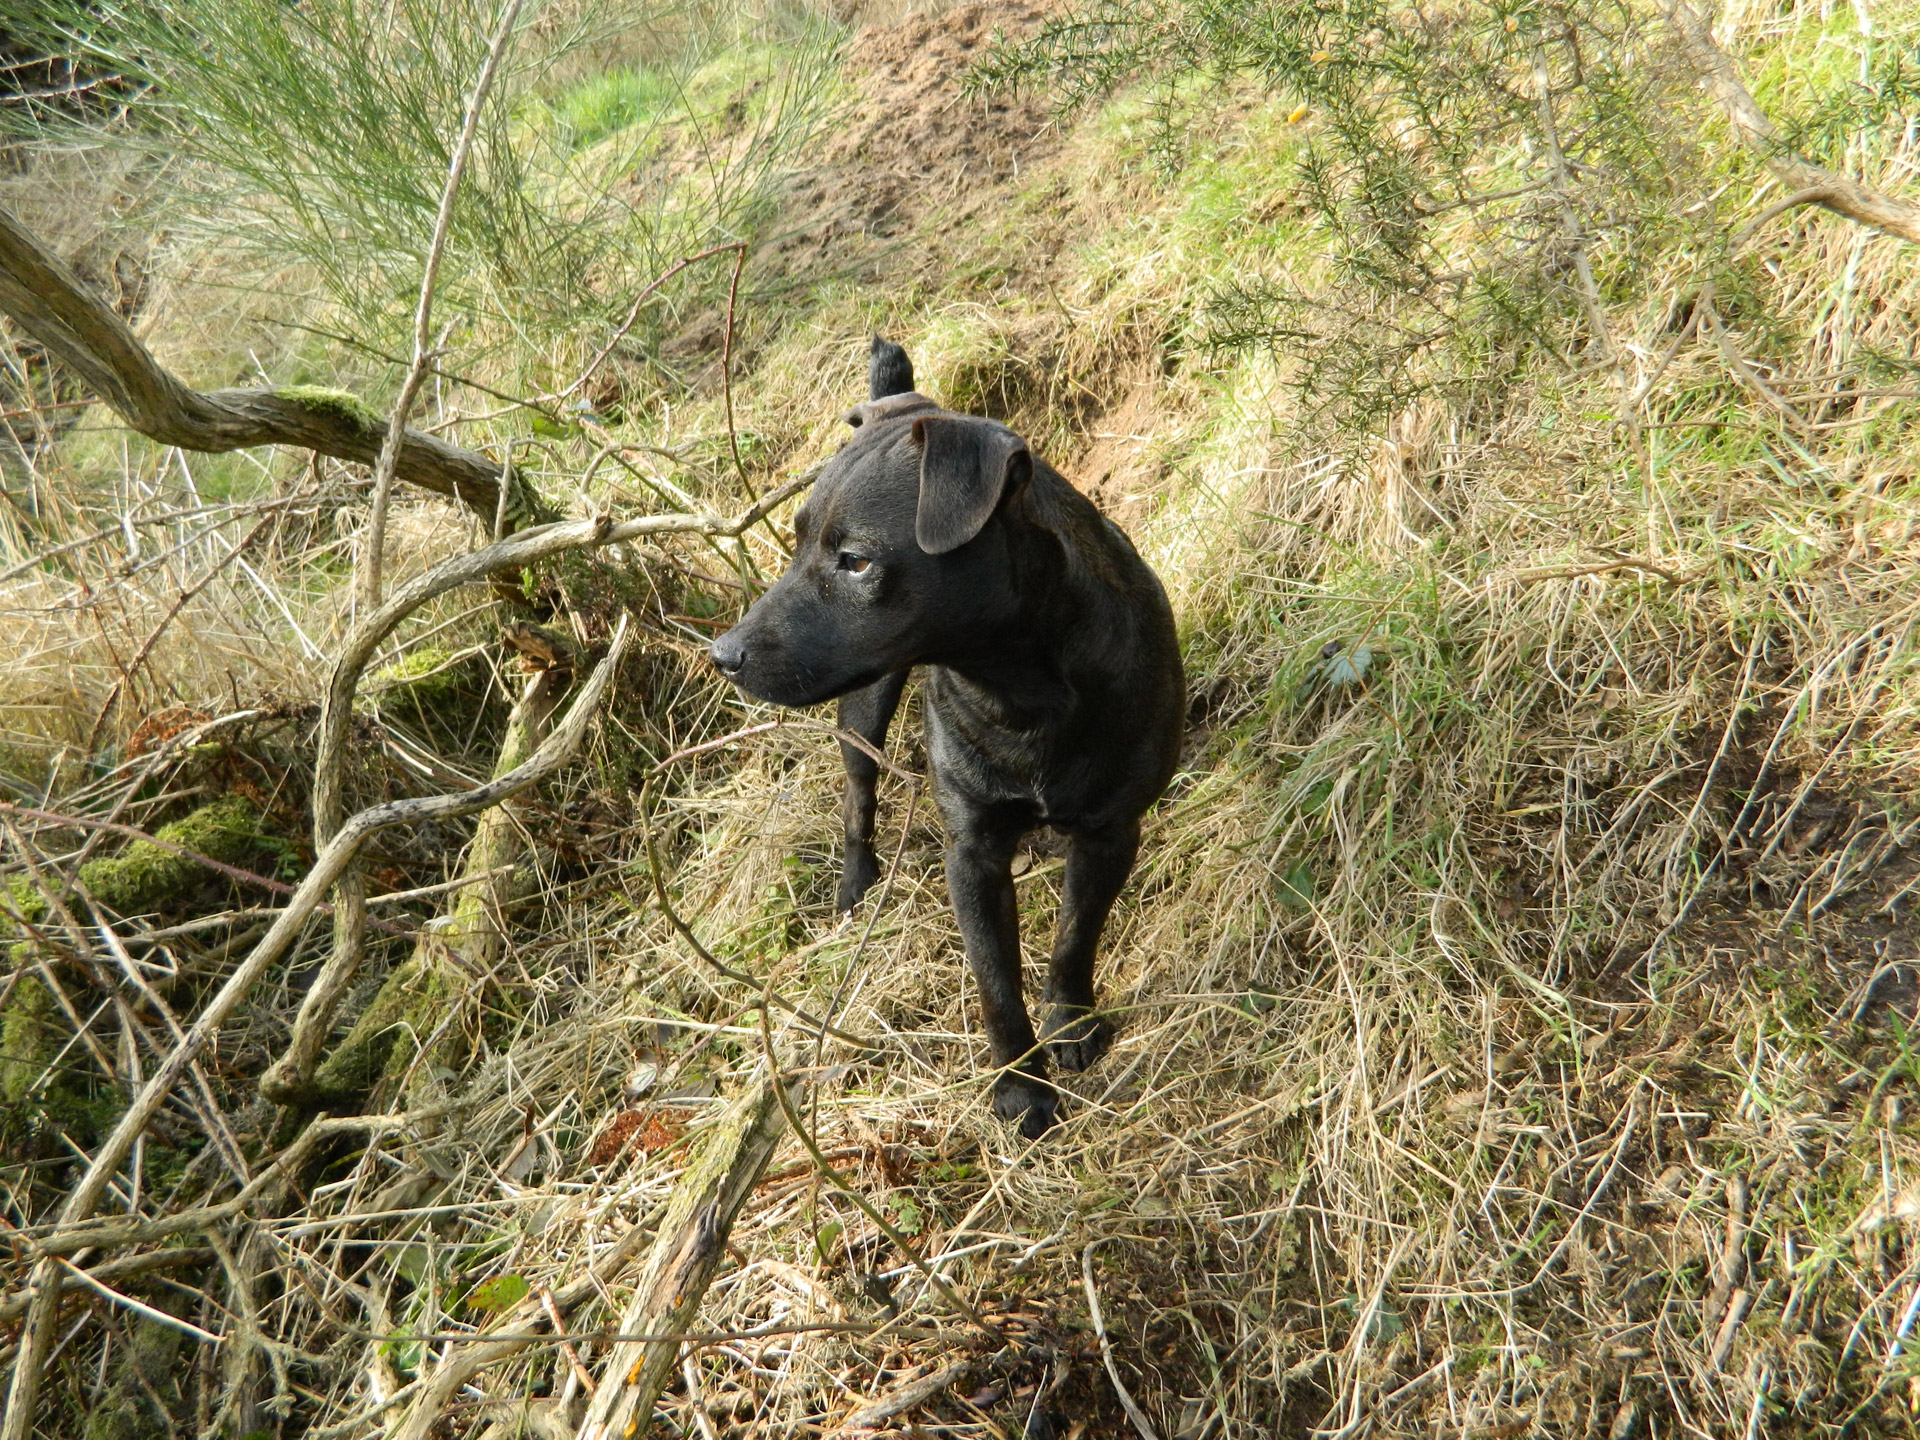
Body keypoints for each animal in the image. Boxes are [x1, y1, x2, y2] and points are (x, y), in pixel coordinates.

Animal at [710, 337, 1182, 1136]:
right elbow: (995, 983)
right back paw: (856, 883)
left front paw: (1069, 1023)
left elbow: (1074, 936)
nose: (724, 654)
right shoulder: (973, 854)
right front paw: (1020, 1091)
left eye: (857, 560)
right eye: (796, 541)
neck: (1021, 692)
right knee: (857, 792)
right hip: (863, 709)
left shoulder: (1111, 830)